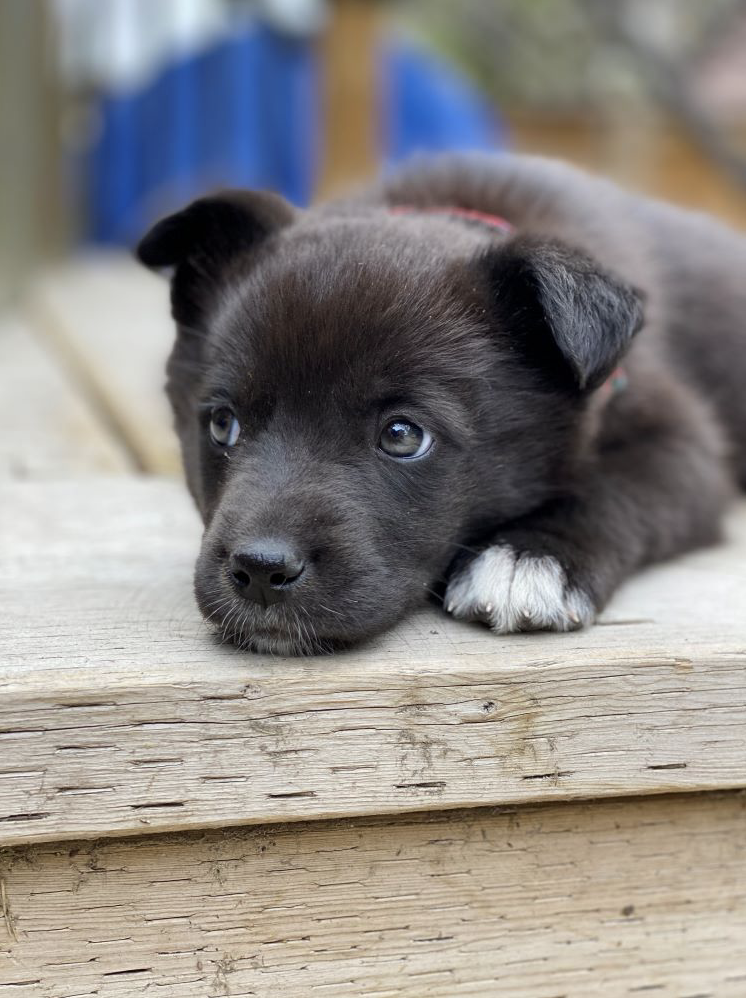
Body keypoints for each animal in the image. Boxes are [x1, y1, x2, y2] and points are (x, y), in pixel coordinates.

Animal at [137, 154, 740, 656]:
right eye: (223, 424)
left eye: (402, 435)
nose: (261, 570)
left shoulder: (684, 442)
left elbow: (615, 488)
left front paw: (526, 558)